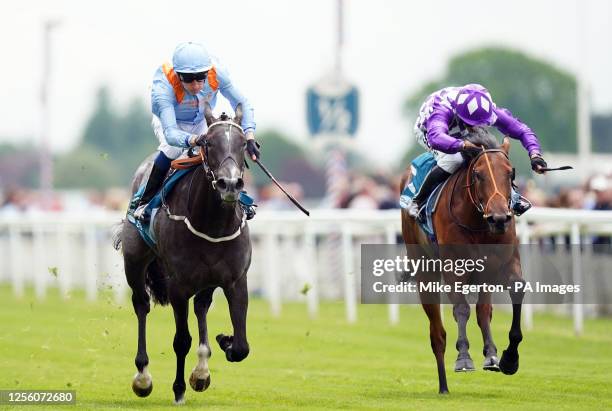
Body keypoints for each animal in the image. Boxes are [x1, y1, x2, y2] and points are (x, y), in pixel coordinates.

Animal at [112, 103, 251, 406]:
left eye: (244, 144)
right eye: (208, 143)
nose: (230, 184)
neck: (212, 224)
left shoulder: (236, 281)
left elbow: (242, 347)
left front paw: (224, 341)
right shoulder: (178, 285)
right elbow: (181, 340)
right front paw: (178, 389)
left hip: (207, 281)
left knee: (201, 306)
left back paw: (202, 369)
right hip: (135, 264)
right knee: (142, 305)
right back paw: (143, 377)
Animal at [402, 127, 524, 394]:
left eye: (510, 173)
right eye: (478, 175)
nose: (499, 218)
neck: (478, 222)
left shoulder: (501, 262)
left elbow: (510, 293)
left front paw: (506, 358)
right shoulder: (453, 268)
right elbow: (461, 309)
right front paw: (464, 358)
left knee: (483, 310)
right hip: (424, 271)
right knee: (437, 334)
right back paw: (443, 386)